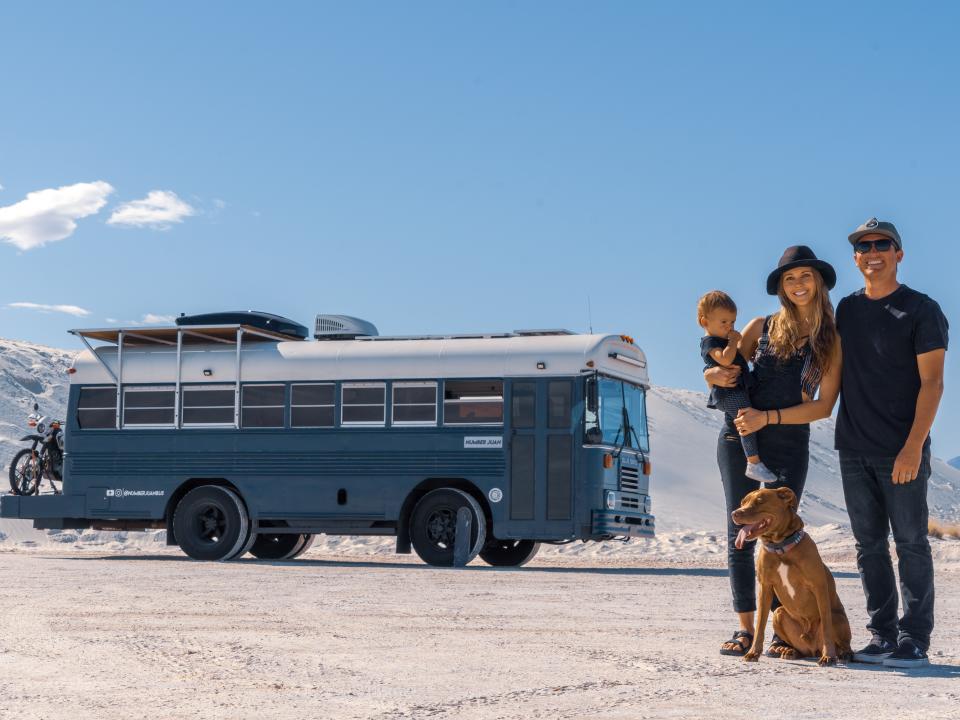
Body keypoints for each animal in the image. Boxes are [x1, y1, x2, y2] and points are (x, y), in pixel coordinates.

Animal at [732, 486, 852, 668]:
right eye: (743, 502)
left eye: (760, 501)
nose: (734, 513)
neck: (780, 547)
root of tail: (813, 648)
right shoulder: (765, 588)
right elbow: (760, 624)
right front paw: (753, 652)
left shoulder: (819, 587)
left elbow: (826, 627)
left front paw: (828, 656)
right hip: (779, 613)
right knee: (802, 648)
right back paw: (790, 651)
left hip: (837, 618)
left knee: (840, 641)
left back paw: (842, 654)